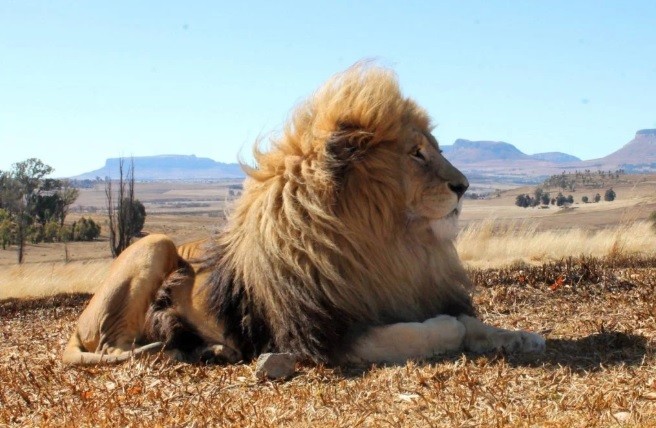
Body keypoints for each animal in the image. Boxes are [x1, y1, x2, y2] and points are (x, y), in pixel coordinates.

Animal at [63, 64, 544, 366]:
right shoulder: (323, 336)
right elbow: (428, 331)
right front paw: (450, 327)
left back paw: (209, 350)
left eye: (437, 150)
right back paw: (170, 348)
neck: (391, 243)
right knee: (114, 345)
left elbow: (475, 322)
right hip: (155, 245)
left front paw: (521, 336)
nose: (464, 186)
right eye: (416, 154)